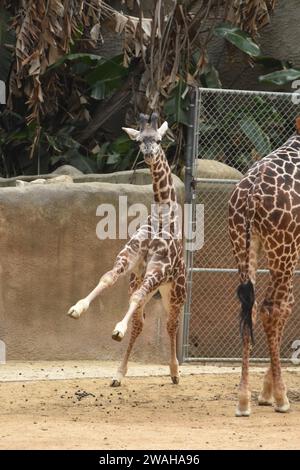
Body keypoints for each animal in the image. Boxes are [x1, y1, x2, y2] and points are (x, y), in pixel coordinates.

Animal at [67, 113, 186, 386]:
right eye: (140, 140)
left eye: (159, 139)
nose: (150, 154)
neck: (162, 216)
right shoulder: (129, 259)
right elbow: (107, 278)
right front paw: (78, 309)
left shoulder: (157, 270)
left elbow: (136, 299)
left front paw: (117, 329)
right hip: (150, 286)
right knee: (141, 323)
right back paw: (119, 374)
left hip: (175, 293)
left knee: (171, 324)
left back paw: (175, 372)